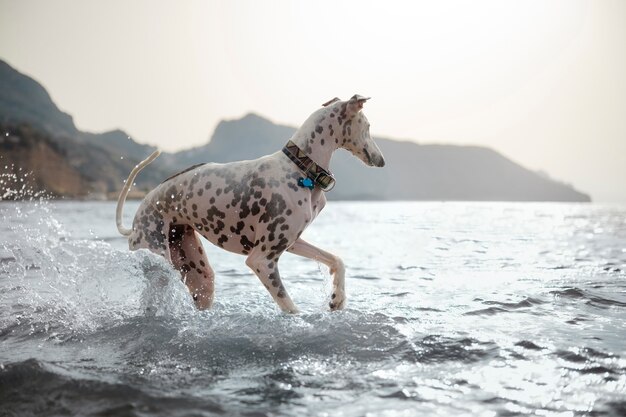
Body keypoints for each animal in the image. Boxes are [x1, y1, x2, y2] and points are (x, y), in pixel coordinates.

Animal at [114, 94, 382, 314]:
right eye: (368, 126)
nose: (382, 161)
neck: (301, 169)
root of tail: (135, 222)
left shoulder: (291, 242)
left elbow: (336, 260)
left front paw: (338, 298)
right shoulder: (262, 260)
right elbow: (291, 309)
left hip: (200, 276)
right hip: (159, 262)